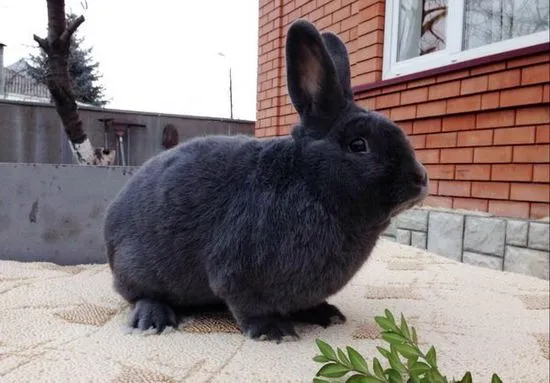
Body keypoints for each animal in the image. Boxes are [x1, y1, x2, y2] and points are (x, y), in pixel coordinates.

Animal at [104, 18, 432, 342]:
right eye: (358, 145)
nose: (420, 179)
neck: (310, 183)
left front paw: (326, 313)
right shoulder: (236, 276)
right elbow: (249, 307)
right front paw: (275, 331)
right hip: (139, 270)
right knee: (140, 295)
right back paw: (153, 319)